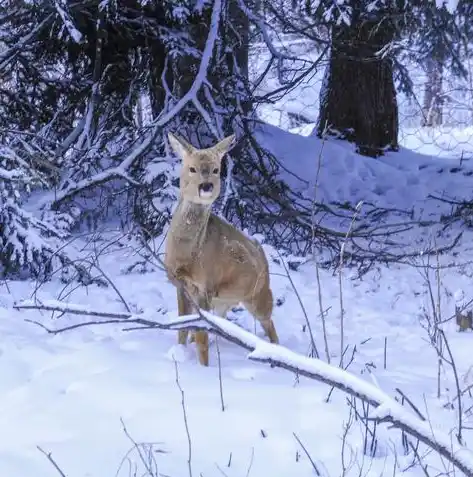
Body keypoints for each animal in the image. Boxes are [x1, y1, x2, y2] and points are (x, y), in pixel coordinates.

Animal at [164, 131, 278, 364]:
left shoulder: (205, 286)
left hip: (258, 294)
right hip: (225, 300)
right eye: (192, 168)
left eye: (216, 169)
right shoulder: (180, 285)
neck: (187, 257)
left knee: (269, 324)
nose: (206, 186)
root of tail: (261, 252)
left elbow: (201, 337)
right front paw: (179, 353)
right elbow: (183, 327)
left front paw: (204, 367)